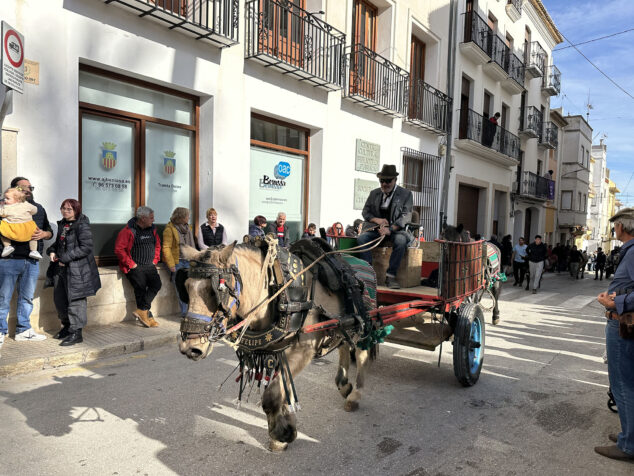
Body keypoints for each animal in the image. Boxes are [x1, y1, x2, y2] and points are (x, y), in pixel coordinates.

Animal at [175, 240, 372, 452]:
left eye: (215, 291)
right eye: (186, 287)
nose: (190, 347)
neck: (280, 294)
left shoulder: (304, 349)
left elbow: (272, 394)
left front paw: (282, 433)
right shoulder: (280, 350)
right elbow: (283, 389)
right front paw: (286, 423)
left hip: (364, 324)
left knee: (361, 354)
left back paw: (355, 394)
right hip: (342, 327)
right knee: (344, 346)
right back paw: (343, 384)